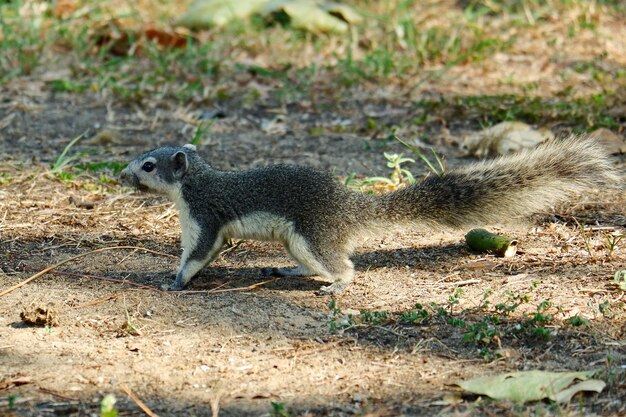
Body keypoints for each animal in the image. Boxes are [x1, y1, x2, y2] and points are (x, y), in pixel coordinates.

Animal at [120, 136, 616, 292]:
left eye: (149, 165)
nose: (121, 174)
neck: (195, 183)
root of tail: (348, 205)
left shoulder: (204, 216)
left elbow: (197, 253)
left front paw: (176, 280)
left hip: (313, 233)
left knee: (344, 265)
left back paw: (336, 285)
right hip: (297, 241)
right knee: (312, 263)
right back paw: (290, 272)